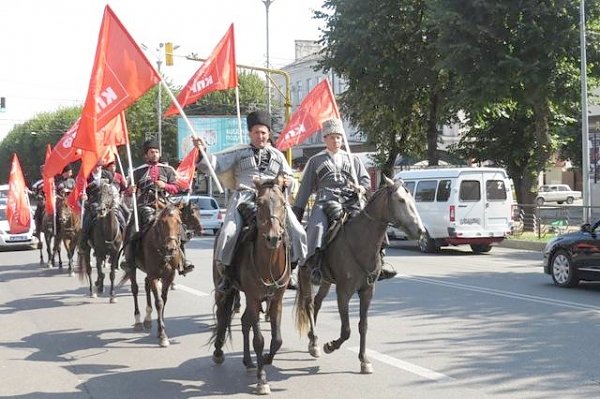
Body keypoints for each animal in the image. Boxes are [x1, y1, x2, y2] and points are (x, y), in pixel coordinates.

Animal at [120, 202, 184, 348]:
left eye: (179, 222)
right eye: (161, 223)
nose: (171, 248)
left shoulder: (169, 276)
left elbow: (164, 300)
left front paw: (161, 328)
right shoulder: (154, 275)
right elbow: (159, 302)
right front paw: (162, 335)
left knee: (146, 284)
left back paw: (148, 318)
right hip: (132, 267)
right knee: (135, 289)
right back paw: (138, 321)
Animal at [210, 175, 290, 396]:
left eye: (283, 203)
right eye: (260, 203)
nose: (273, 237)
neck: (269, 260)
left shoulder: (277, 299)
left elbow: (277, 339)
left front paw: (267, 359)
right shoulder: (253, 297)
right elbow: (259, 340)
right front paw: (262, 380)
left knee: (245, 322)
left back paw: (248, 361)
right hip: (224, 290)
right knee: (222, 316)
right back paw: (218, 352)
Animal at [296, 177, 426, 376]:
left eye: (412, 199)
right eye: (400, 200)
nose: (420, 231)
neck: (360, 242)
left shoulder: (367, 291)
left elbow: (362, 326)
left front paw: (364, 360)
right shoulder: (343, 293)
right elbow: (346, 330)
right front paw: (330, 346)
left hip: (326, 281)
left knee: (317, 303)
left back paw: (312, 339)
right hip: (306, 276)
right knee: (309, 304)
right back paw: (316, 342)